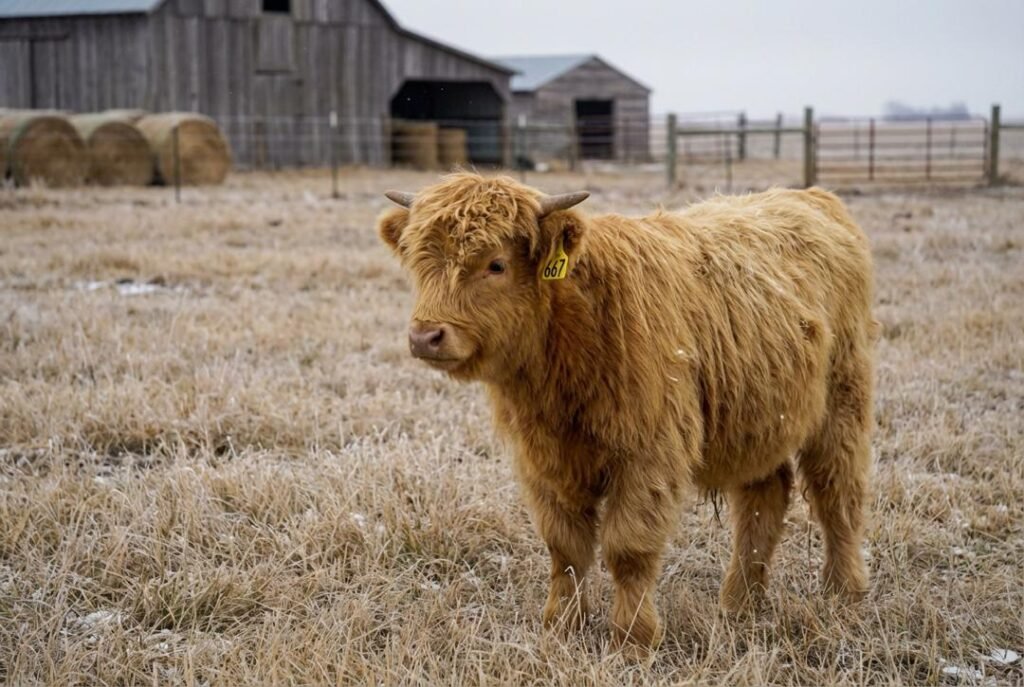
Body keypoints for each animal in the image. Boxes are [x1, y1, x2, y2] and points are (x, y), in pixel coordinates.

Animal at [377, 173, 875, 655]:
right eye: (419, 261)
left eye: (495, 265)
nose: (425, 336)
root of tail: (810, 196)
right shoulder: (544, 460)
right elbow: (566, 549)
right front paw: (562, 628)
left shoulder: (649, 455)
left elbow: (628, 548)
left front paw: (633, 639)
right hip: (758, 419)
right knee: (764, 499)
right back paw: (740, 603)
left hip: (843, 401)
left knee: (838, 494)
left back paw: (843, 591)